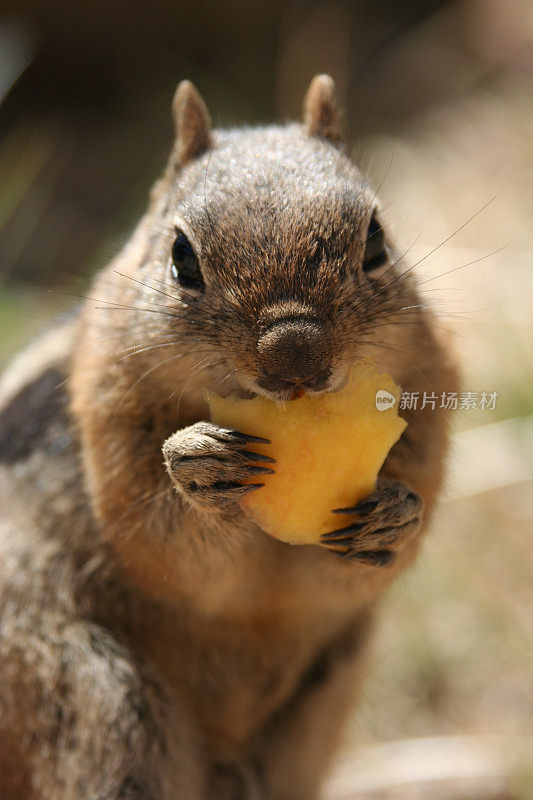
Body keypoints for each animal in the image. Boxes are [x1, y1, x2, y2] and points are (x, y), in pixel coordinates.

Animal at [0, 76, 458, 800]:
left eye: (376, 242)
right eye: (181, 258)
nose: (295, 357)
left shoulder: (429, 399)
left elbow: (342, 579)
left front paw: (395, 518)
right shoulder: (108, 421)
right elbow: (171, 553)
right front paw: (197, 466)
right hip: (91, 695)